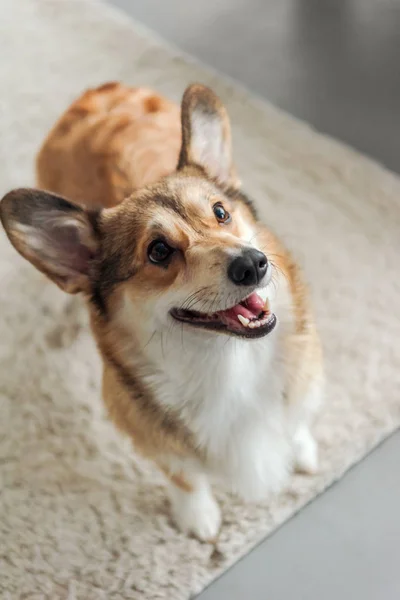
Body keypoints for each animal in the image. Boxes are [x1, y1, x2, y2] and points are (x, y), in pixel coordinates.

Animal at [0, 83, 322, 540]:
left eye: (220, 212)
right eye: (158, 251)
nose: (253, 263)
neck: (226, 364)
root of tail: (99, 93)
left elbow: (297, 421)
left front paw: (303, 452)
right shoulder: (149, 434)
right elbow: (185, 477)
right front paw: (199, 518)